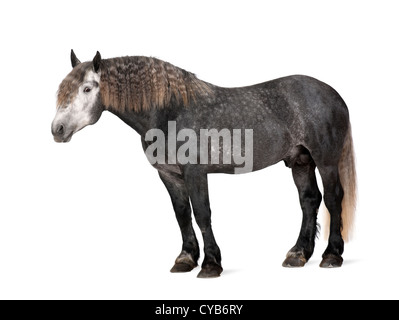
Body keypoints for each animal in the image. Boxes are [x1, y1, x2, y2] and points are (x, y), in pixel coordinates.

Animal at [51, 50, 358, 278]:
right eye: (63, 90)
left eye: (87, 88)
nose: (57, 129)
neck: (171, 112)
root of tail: (334, 95)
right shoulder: (169, 175)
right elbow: (182, 215)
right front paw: (185, 259)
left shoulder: (195, 172)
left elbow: (202, 213)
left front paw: (211, 264)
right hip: (300, 161)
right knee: (309, 200)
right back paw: (298, 254)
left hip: (325, 161)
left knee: (332, 199)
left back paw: (331, 256)